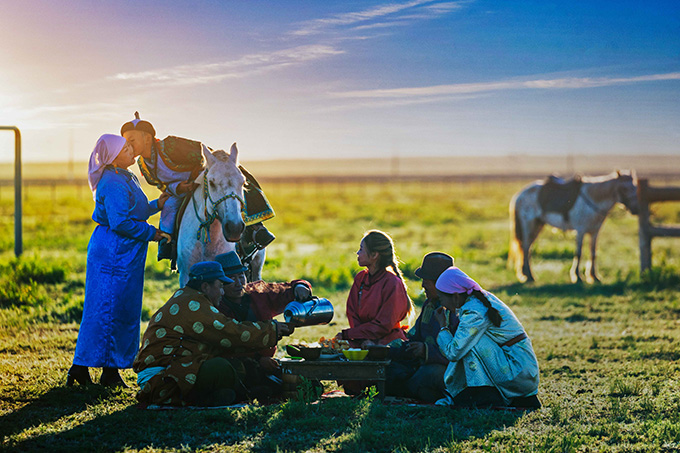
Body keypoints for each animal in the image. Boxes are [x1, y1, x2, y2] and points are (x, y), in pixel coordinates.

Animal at [508, 170, 640, 282]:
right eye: (624, 188)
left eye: (634, 186)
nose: (635, 209)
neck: (593, 199)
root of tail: (519, 196)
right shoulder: (580, 230)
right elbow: (579, 252)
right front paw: (577, 276)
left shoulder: (594, 232)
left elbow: (593, 252)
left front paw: (594, 276)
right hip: (528, 225)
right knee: (525, 247)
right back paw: (529, 276)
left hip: (537, 225)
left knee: (527, 248)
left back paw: (527, 274)